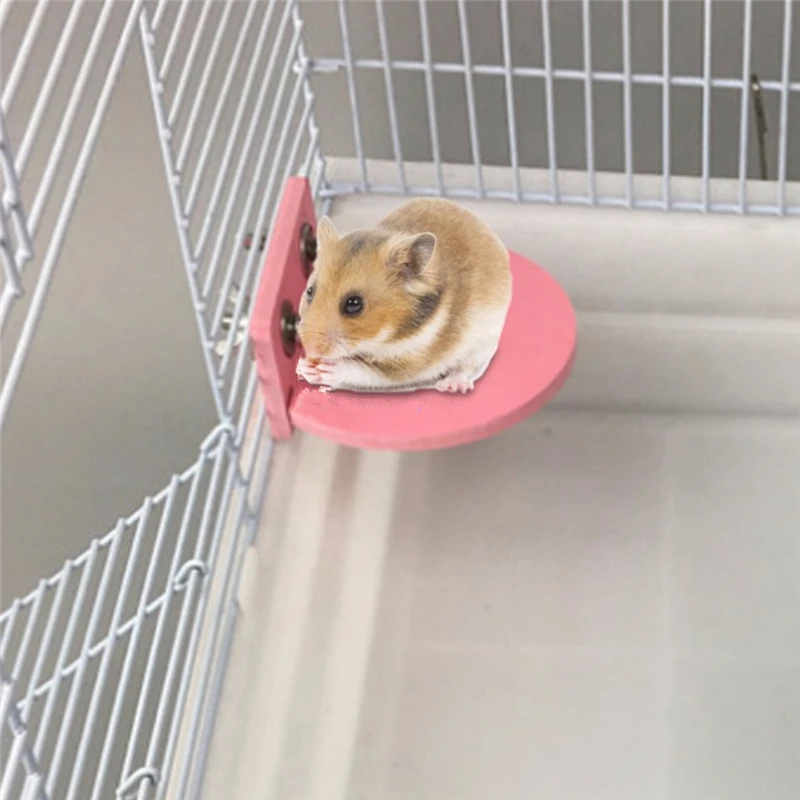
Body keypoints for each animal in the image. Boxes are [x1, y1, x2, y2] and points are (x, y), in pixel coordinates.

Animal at [295, 197, 512, 394]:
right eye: (310, 291)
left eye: (354, 304)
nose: (313, 350)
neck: (389, 335)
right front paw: (303, 367)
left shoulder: (409, 362)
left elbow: (363, 371)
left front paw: (327, 369)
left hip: (483, 344)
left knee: (466, 369)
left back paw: (451, 386)